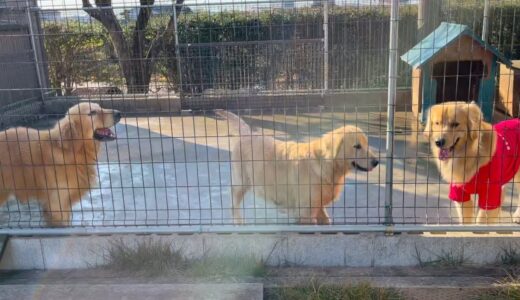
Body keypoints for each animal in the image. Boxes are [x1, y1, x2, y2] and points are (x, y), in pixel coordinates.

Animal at [215, 110, 378, 225]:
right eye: (357, 146)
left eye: (367, 144)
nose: (376, 162)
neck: (325, 164)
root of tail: (248, 133)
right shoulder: (306, 211)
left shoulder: (317, 205)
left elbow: (326, 220)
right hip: (241, 181)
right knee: (234, 204)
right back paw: (239, 223)